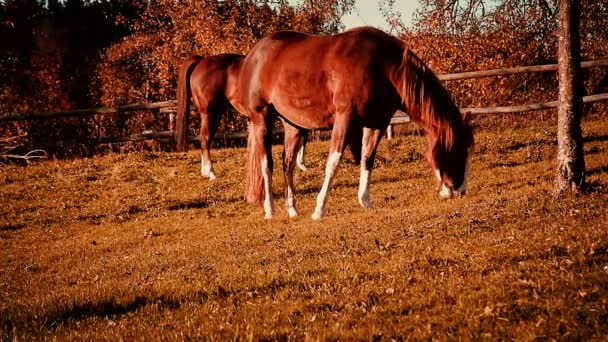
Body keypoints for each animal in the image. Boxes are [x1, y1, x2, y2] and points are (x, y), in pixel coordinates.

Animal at [175, 52, 308, 179]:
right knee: (205, 139)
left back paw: (205, 172)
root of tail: (202, 61)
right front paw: (301, 164)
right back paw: (211, 172)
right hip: (211, 113)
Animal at [239, 26, 476, 219]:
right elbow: (333, 163)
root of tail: (254, 54)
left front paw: (365, 201)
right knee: (266, 164)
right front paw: (319, 209)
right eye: (458, 150)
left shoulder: (377, 123)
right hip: (261, 118)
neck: (382, 66)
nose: (461, 189)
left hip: (294, 125)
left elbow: (367, 159)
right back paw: (270, 210)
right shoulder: (345, 118)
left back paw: (292, 210)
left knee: (287, 164)